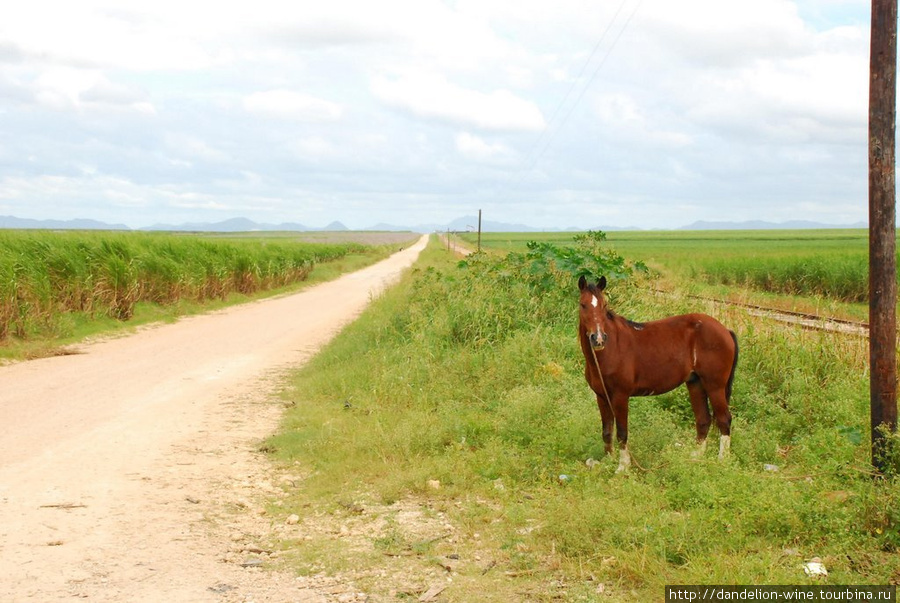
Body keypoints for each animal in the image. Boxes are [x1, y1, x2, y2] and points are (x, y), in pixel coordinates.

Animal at [576, 276, 740, 474]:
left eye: (604, 305)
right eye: (583, 304)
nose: (598, 339)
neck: (609, 350)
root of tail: (726, 331)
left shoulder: (620, 396)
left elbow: (622, 431)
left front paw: (623, 467)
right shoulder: (601, 396)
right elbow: (607, 430)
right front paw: (608, 460)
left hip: (715, 386)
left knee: (724, 419)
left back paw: (722, 461)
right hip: (696, 384)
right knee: (703, 419)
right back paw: (695, 457)